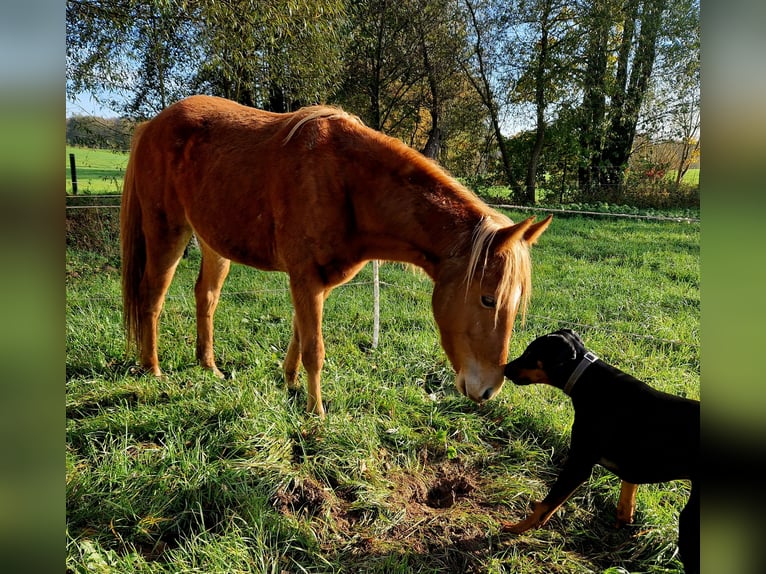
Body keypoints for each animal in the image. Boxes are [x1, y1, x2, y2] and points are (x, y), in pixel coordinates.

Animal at [121, 95, 552, 418]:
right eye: (487, 299)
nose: (489, 390)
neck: (347, 181)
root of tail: (151, 125)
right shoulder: (306, 277)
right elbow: (315, 349)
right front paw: (317, 413)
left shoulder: (317, 282)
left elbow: (299, 335)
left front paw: (291, 384)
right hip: (167, 232)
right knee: (152, 296)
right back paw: (152, 369)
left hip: (213, 242)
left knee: (206, 297)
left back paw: (209, 366)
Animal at [504, 330, 704, 572]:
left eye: (531, 353)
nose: (504, 368)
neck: (589, 381)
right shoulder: (630, 469)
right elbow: (626, 500)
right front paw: (621, 525)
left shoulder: (579, 464)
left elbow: (546, 505)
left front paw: (516, 528)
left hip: (691, 521)